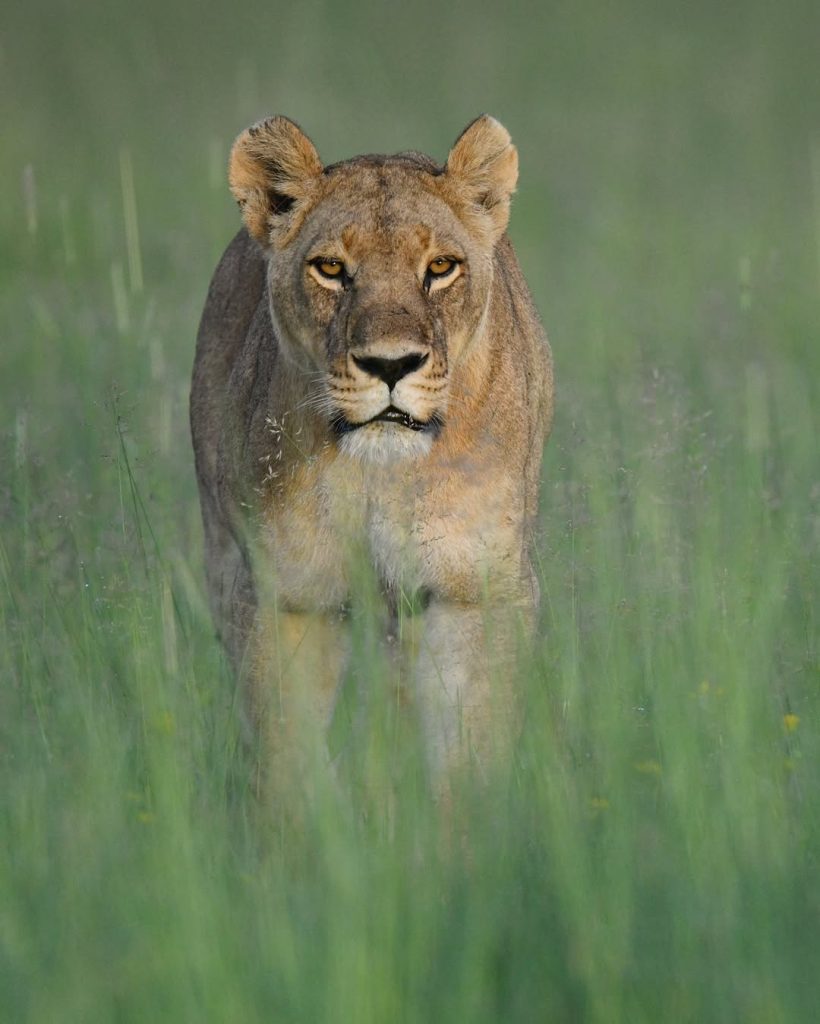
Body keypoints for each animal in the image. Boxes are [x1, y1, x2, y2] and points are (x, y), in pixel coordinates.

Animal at [190, 114, 553, 797]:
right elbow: (286, 759)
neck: (378, 475)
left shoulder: (477, 591)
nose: (390, 365)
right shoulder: (288, 596)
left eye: (441, 266)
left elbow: (469, 757)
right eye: (331, 268)